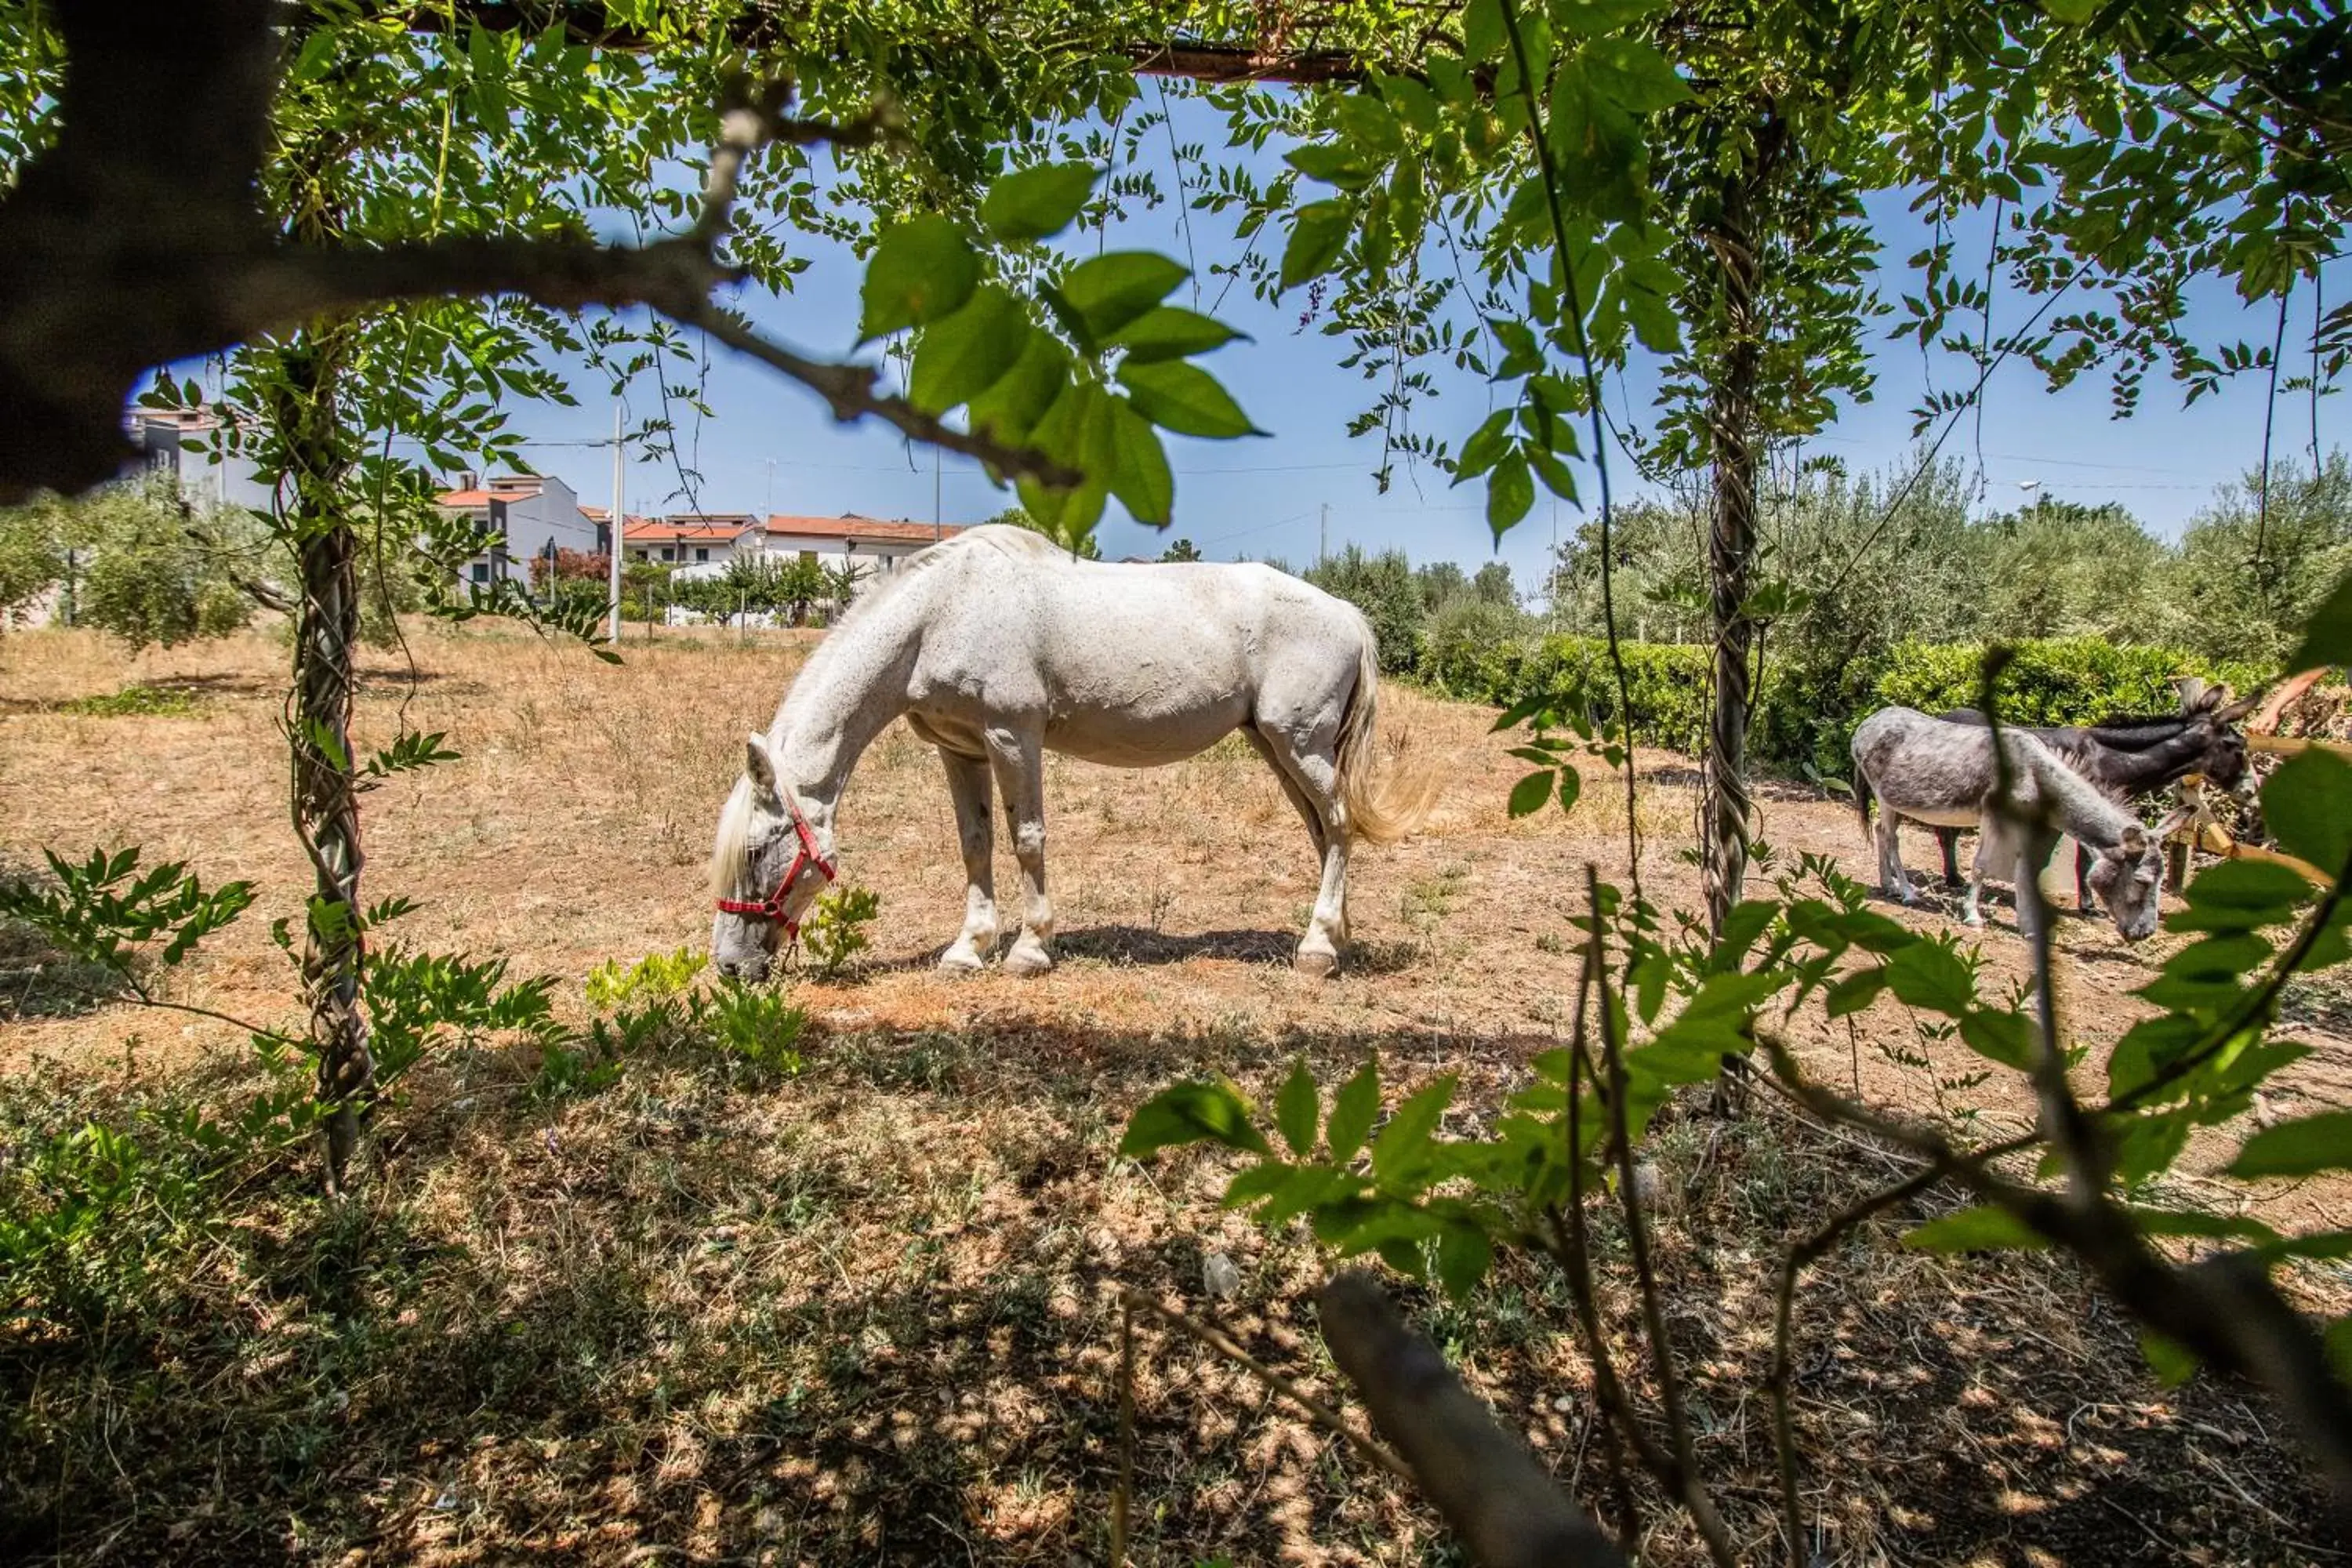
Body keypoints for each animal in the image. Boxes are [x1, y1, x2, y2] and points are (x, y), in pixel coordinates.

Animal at [701, 526, 1430, 982]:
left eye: (757, 851)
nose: (730, 968)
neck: (940, 613)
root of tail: (1345, 612)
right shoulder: (960, 751)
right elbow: (975, 845)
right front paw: (967, 950)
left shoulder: (1011, 736)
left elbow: (1027, 839)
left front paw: (1029, 950)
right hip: (1278, 748)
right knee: (1323, 834)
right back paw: (1335, 938)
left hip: (1299, 745)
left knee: (1339, 827)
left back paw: (1318, 950)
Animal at [1853, 710, 2183, 945]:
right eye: (2142, 880)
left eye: (2160, 879)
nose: (2145, 933)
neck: (2034, 775)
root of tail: (1868, 723)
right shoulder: (1992, 817)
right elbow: (1981, 866)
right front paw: (1973, 916)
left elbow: (2025, 873)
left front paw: (2028, 927)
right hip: (1883, 796)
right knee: (1892, 839)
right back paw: (1908, 892)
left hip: (1895, 802)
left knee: (1882, 833)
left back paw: (1889, 885)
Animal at [1929, 686, 2258, 907]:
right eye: (2237, 747)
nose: (2253, 791)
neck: (2112, 759)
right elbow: (2085, 860)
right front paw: (2088, 905)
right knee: (1946, 835)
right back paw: (1953, 878)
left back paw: (1953, 877)